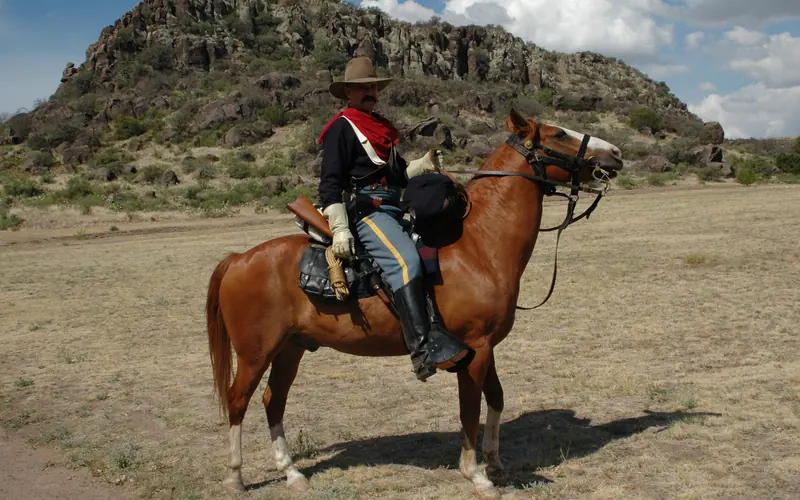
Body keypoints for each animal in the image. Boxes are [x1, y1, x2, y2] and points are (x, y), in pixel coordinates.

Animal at [205, 108, 624, 499]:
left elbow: (496, 398)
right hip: (256, 353)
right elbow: (470, 410)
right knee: (238, 401)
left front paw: (495, 463)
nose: (616, 153)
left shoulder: (487, 346)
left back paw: (292, 473)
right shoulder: (474, 348)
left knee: (273, 401)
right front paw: (476, 475)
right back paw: (235, 477)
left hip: (289, 350)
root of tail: (238, 259)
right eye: (558, 134)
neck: (479, 245)